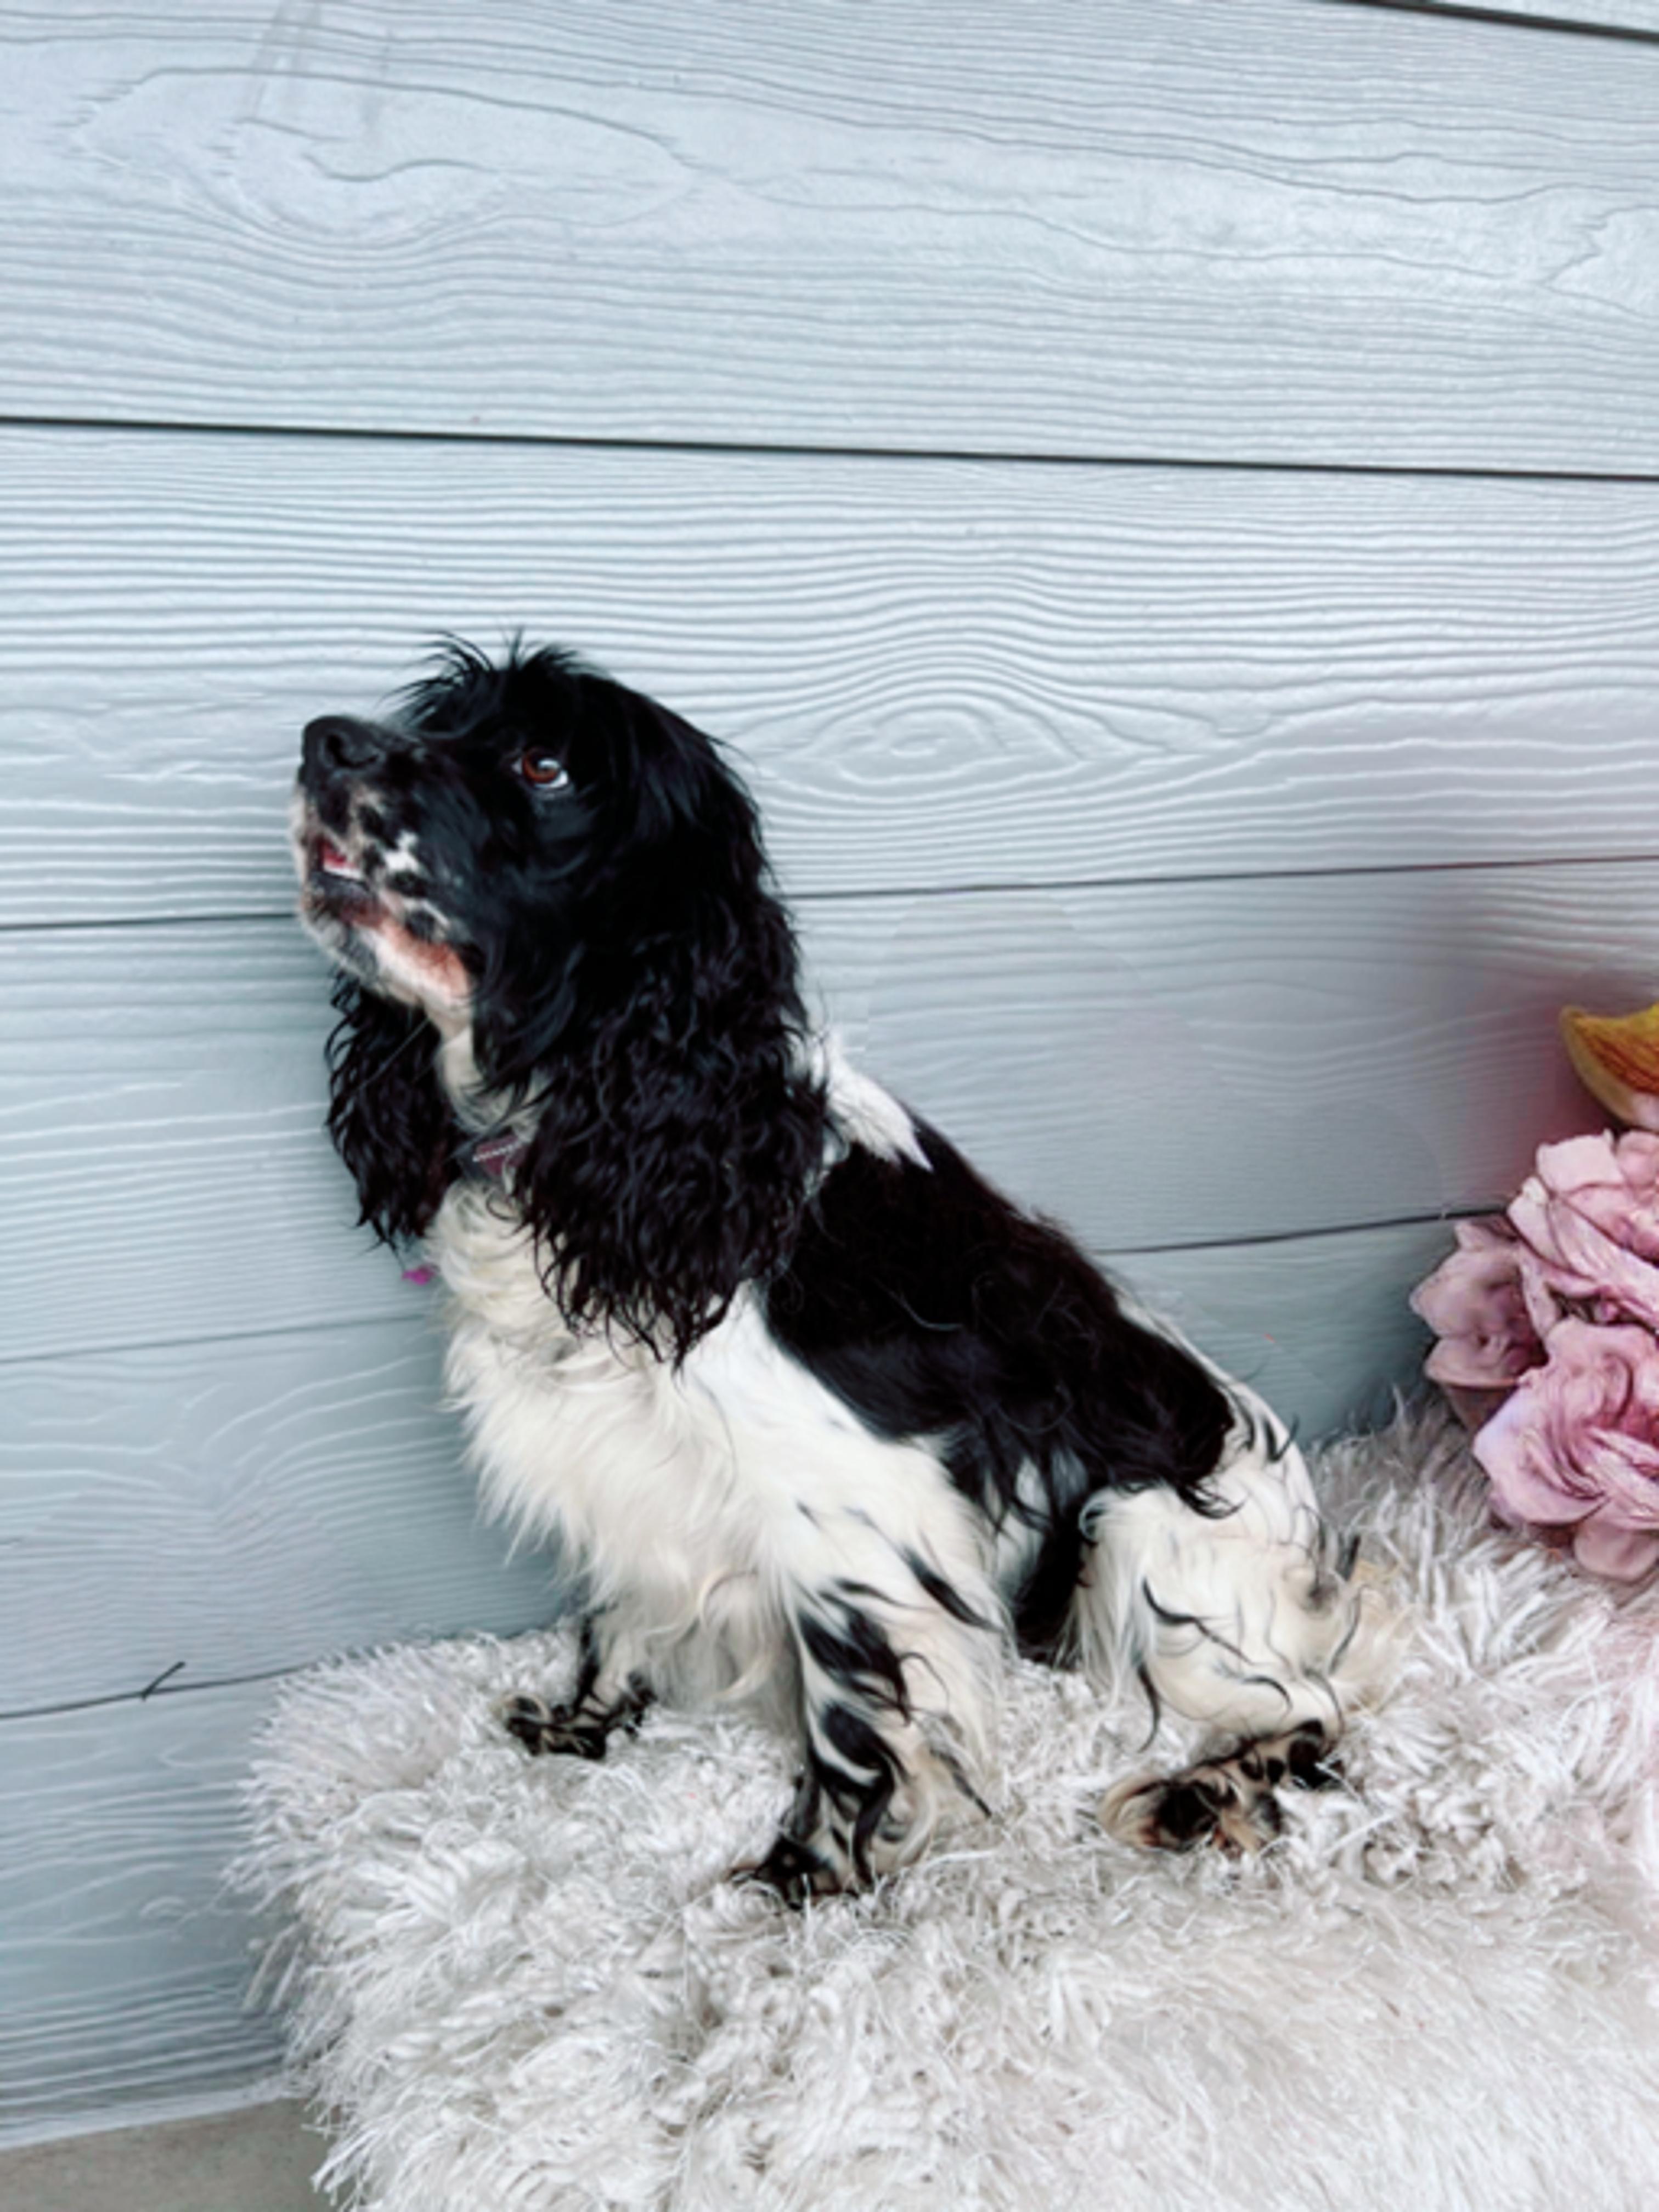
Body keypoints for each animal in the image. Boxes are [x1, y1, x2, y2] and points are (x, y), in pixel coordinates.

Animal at [292, 641, 1373, 1897]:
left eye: (543, 765)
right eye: (440, 721)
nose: (324, 740)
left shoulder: (856, 1512)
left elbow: (854, 1715)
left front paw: (798, 1883)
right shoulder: (617, 1470)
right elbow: (614, 1615)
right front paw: (581, 1728)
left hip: (1143, 1542)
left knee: (1314, 1706)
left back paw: (1201, 1794)